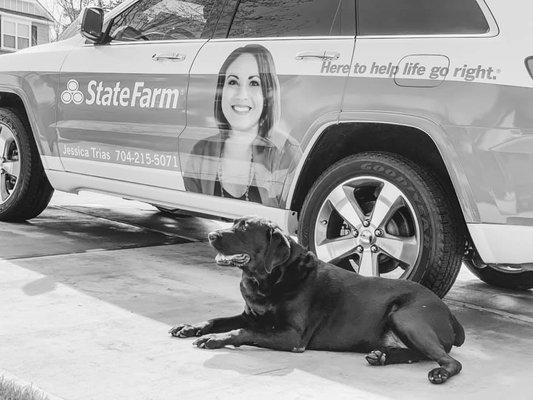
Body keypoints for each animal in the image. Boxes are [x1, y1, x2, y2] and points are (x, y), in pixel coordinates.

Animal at [169, 219, 462, 384]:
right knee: (418, 354)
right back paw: (381, 356)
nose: (211, 235)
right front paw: (191, 327)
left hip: (405, 317)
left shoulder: (292, 337)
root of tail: (449, 313)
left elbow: (242, 331)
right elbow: (217, 319)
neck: (269, 279)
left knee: (449, 361)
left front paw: (215, 339)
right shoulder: (250, 314)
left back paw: (439, 373)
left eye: (243, 229)